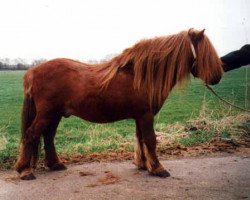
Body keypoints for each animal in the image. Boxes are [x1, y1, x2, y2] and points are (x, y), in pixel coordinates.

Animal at [15, 28, 223, 180]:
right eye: (205, 53)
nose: (217, 77)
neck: (142, 75)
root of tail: (32, 72)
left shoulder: (140, 117)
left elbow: (141, 139)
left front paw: (144, 165)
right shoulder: (146, 116)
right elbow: (150, 140)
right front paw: (158, 168)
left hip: (55, 114)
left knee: (48, 136)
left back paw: (55, 164)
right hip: (47, 114)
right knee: (31, 135)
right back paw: (25, 171)